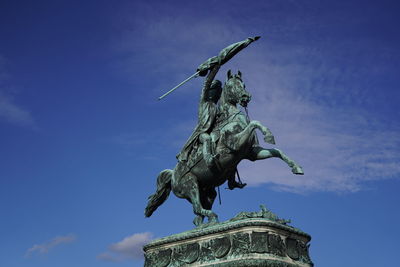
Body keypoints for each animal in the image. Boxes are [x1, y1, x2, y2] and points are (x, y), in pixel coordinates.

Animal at [145, 69, 304, 226]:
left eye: (243, 84)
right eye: (232, 85)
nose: (246, 97)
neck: (231, 118)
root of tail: (172, 175)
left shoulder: (252, 153)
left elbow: (277, 152)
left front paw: (296, 167)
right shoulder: (234, 144)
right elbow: (254, 123)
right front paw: (268, 134)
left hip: (208, 192)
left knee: (198, 216)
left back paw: (210, 223)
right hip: (190, 186)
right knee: (197, 208)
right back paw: (213, 216)